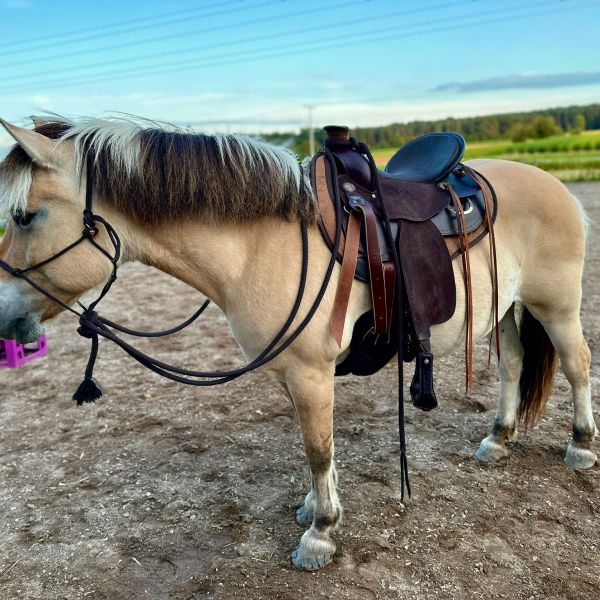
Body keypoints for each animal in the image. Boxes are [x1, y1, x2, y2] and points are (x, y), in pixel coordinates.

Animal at [0, 116, 596, 571]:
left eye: (23, 216)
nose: (4, 316)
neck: (262, 244)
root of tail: (556, 185)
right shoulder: (291, 373)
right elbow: (313, 448)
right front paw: (315, 508)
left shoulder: (311, 370)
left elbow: (317, 448)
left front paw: (321, 534)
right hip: (506, 310)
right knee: (514, 365)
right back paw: (498, 437)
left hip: (555, 306)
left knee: (577, 364)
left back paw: (580, 446)